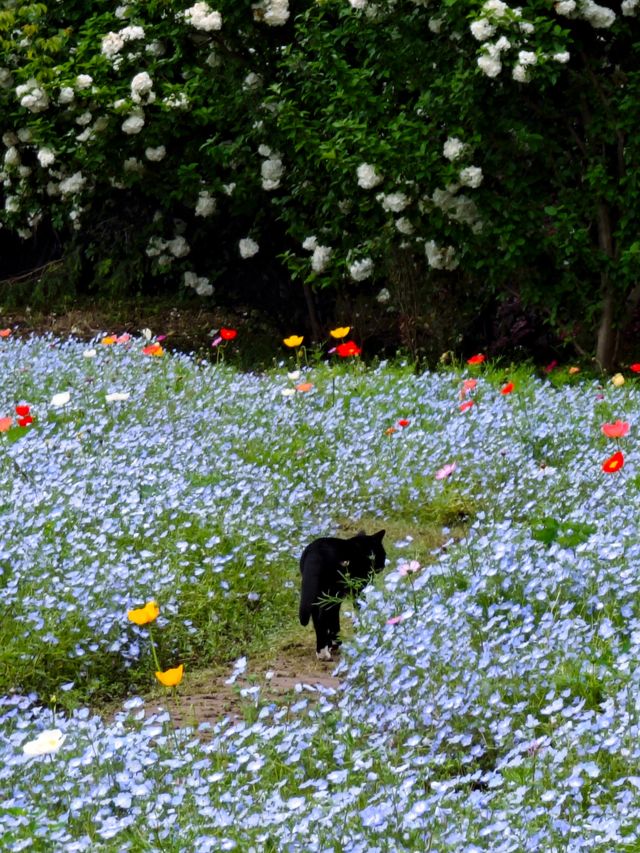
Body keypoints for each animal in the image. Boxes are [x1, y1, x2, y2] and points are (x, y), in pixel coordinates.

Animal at [298, 528, 384, 664]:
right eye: (382, 553)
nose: (383, 565)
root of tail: (314, 553)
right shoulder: (359, 587)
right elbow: (359, 607)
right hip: (332, 592)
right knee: (322, 618)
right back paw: (324, 653)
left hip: (319, 594)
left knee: (317, 617)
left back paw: (325, 648)